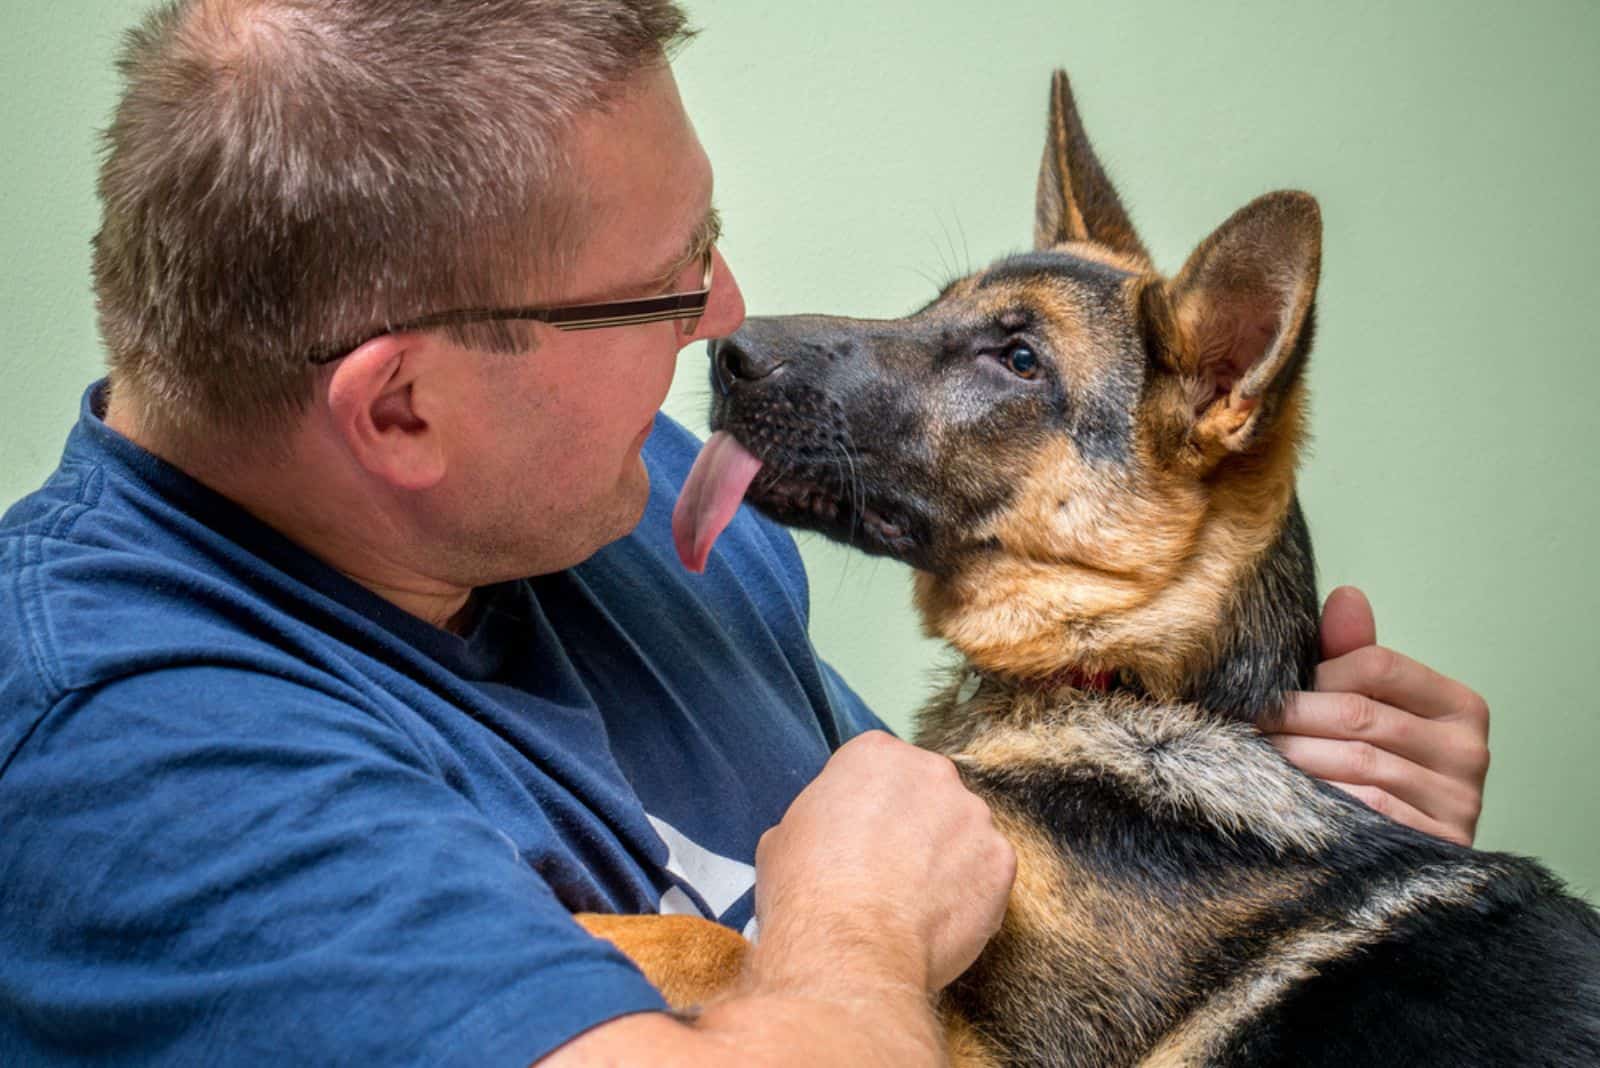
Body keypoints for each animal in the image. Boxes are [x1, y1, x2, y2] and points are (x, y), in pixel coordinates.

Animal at [582, 70, 1600, 1061]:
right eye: (933, 307)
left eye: (1020, 359)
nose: (728, 351)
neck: (1121, 681)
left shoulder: (997, 1052)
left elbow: (714, 942)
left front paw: (598, 929)